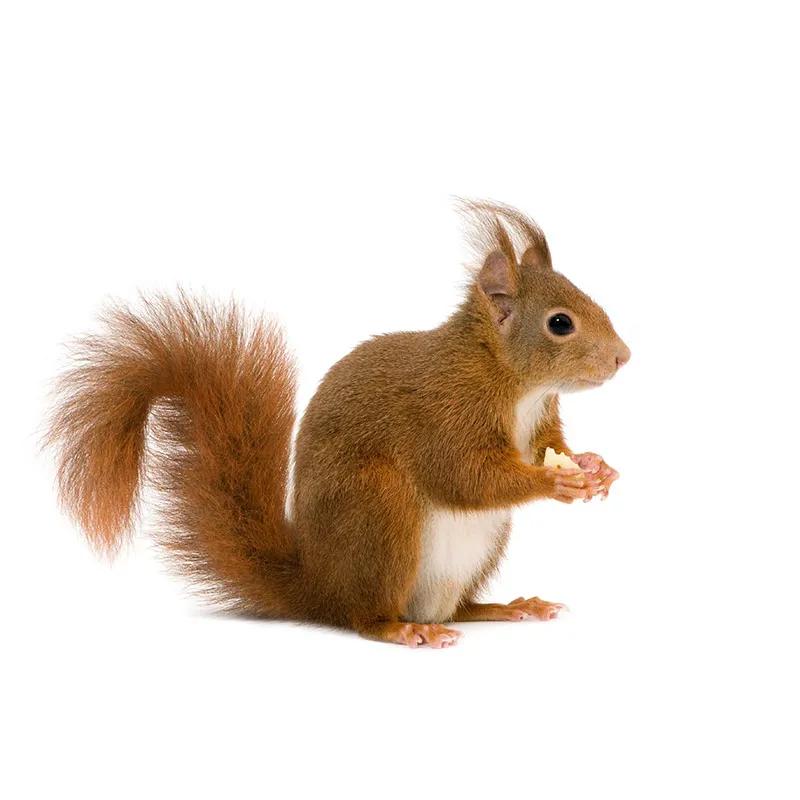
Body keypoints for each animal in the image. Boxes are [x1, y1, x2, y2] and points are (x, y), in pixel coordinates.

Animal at [45, 200, 630, 648]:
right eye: (560, 323)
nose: (624, 357)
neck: (516, 383)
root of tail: (319, 589)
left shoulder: (540, 420)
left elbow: (547, 446)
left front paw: (594, 465)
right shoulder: (445, 411)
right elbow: (465, 477)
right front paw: (555, 480)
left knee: (455, 609)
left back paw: (504, 607)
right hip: (380, 511)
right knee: (363, 616)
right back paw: (402, 630)